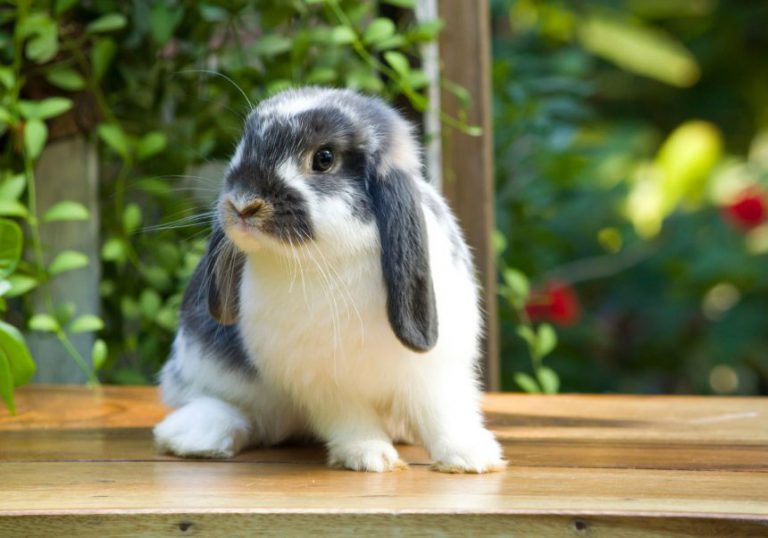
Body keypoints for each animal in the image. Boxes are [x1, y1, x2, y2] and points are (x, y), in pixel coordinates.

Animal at [153, 87, 506, 473]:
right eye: (245, 145)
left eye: (324, 159)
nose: (242, 204)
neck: (325, 258)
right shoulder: (322, 381)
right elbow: (350, 419)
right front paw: (370, 456)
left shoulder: (435, 370)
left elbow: (443, 412)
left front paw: (471, 458)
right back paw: (196, 436)